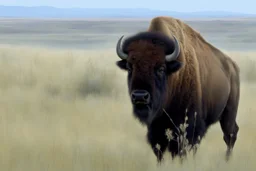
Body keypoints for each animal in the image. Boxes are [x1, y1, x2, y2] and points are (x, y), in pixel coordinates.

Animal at [115, 16, 241, 163]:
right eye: (130, 67)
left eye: (161, 68)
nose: (140, 96)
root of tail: (232, 66)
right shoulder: (156, 128)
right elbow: (160, 150)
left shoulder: (188, 126)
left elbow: (182, 149)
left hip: (229, 111)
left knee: (229, 134)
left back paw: (227, 160)